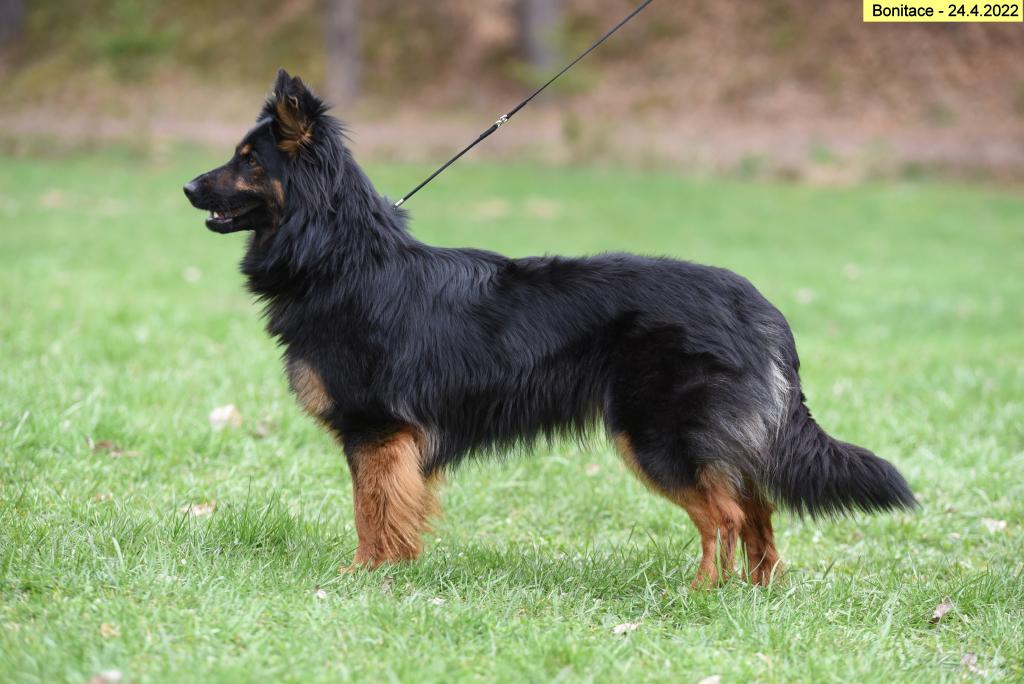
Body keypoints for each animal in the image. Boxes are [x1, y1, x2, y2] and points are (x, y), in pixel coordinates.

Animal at [184, 69, 915, 586]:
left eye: (250, 160)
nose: (188, 188)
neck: (339, 256)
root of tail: (758, 306)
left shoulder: (377, 432)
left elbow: (373, 511)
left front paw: (367, 575)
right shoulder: (389, 442)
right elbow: (391, 509)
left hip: (656, 437)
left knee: (727, 514)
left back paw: (702, 593)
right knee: (758, 506)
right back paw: (756, 594)